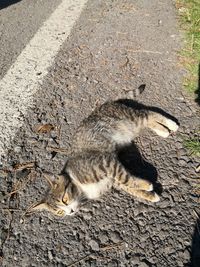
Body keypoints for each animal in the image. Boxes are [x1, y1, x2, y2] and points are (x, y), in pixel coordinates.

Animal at [26, 99, 178, 219]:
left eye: (64, 199)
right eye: (59, 212)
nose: (69, 212)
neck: (80, 187)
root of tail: (102, 106)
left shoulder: (107, 163)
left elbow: (126, 178)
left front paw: (147, 185)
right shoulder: (112, 179)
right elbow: (128, 186)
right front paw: (150, 195)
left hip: (130, 118)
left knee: (148, 113)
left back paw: (170, 125)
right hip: (131, 126)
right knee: (147, 120)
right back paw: (163, 130)